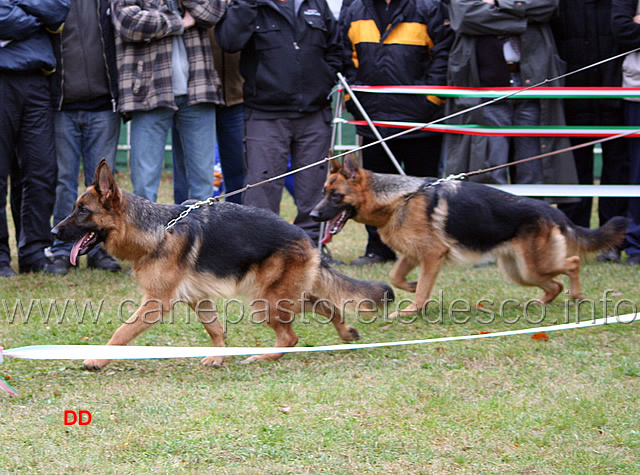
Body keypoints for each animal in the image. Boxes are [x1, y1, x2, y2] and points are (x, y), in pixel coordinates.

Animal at [52, 161, 392, 372]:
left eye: (82, 211)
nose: (53, 233)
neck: (157, 229)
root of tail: (306, 239)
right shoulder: (197, 297)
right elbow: (215, 328)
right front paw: (218, 356)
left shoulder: (156, 303)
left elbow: (122, 332)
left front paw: (98, 360)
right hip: (283, 295)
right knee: (326, 305)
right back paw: (346, 332)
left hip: (265, 300)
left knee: (291, 337)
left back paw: (261, 357)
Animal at [310, 156, 624, 318]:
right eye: (323, 191)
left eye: (335, 196)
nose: (312, 215)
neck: (398, 199)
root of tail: (551, 210)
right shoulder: (414, 254)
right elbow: (397, 277)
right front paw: (411, 286)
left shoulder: (432, 255)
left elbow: (422, 289)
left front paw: (413, 308)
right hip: (520, 271)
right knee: (554, 284)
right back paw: (540, 303)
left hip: (533, 266)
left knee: (572, 263)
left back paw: (577, 295)